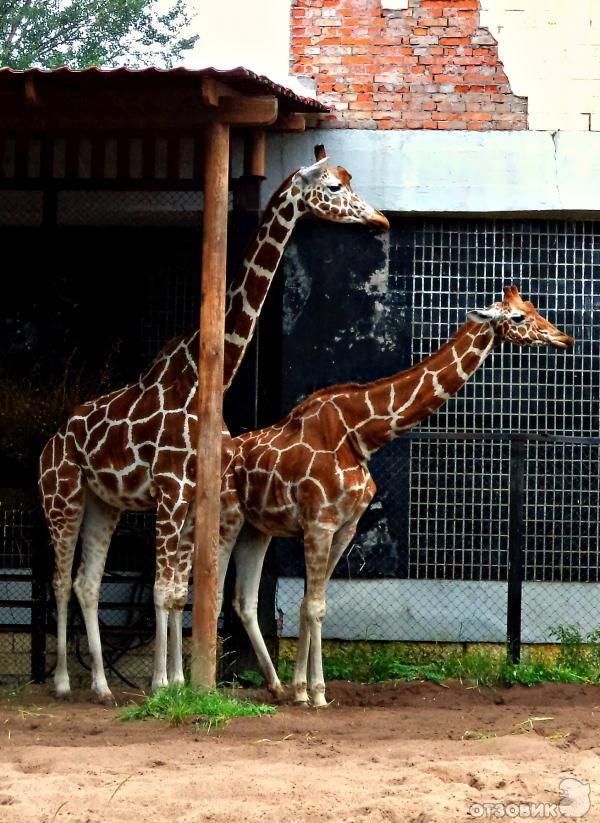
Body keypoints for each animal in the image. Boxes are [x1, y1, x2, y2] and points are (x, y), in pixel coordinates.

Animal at [37, 143, 390, 700]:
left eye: (349, 181)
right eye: (333, 187)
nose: (380, 218)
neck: (207, 381)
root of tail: (50, 441)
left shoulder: (194, 495)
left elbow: (181, 592)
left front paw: (181, 681)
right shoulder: (169, 489)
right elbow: (163, 588)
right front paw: (163, 684)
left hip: (104, 503)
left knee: (86, 581)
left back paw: (103, 686)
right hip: (62, 495)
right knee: (58, 578)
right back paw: (63, 683)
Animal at [217, 286, 576, 704]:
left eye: (533, 306)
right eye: (518, 317)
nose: (564, 339)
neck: (360, 435)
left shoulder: (344, 527)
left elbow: (310, 603)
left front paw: (302, 690)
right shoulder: (319, 524)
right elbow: (315, 606)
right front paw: (315, 693)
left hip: (257, 529)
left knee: (243, 600)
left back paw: (273, 685)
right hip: (226, 519)